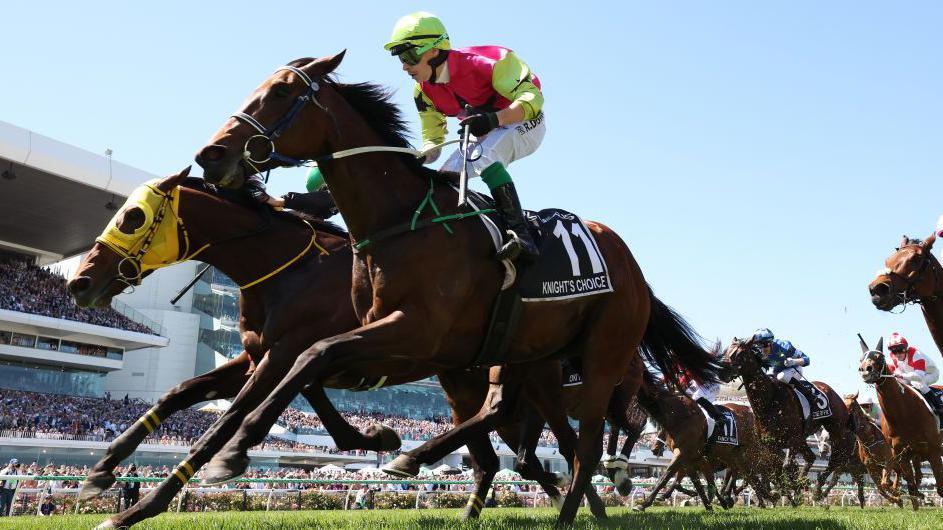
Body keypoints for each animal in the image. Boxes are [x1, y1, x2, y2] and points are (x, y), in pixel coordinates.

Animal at [66, 172, 596, 524]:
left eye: (132, 218)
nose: (80, 283)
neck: (285, 269)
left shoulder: (282, 354)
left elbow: (228, 419)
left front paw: (138, 509)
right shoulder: (256, 355)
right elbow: (181, 392)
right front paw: (99, 473)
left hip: (526, 379)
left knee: (554, 442)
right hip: (460, 379)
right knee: (500, 451)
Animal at [192, 52, 724, 524]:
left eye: (282, 91)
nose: (210, 154)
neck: (401, 222)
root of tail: (632, 267)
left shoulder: (416, 333)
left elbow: (312, 355)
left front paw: (232, 451)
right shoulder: (407, 346)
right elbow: (308, 365)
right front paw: (379, 441)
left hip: (603, 357)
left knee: (588, 443)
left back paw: (579, 502)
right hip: (531, 355)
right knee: (525, 424)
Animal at [724, 338, 856, 504]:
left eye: (740, 353)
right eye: (727, 351)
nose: (722, 371)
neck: (770, 401)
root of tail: (830, 390)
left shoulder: (792, 439)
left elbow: (786, 467)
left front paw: (794, 489)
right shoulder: (771, 445)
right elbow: (777, 471)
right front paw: (787, 493)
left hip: (836, 429)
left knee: (836, 460)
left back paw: (817, 490)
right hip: (803, 438)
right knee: (811, 457)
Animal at [856, 332, 943, 510]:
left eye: (879, 357)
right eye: (861, 359)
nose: (865, 370)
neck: (905, 414)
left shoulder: (934, 450)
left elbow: (939, 488)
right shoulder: (902, 455)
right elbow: (910, 488)